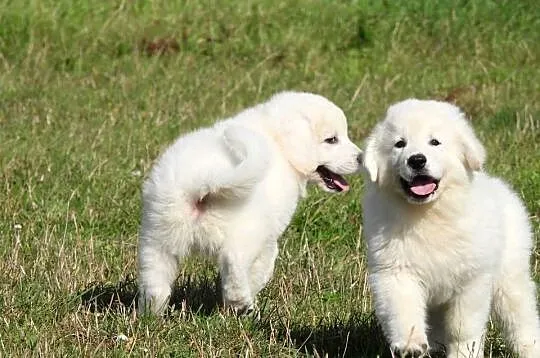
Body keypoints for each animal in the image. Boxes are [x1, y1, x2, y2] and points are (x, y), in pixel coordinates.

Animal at [137, 91, 360, 314]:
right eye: (331, 140)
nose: (360, 157)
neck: (279, 143)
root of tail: (205, 181)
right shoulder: (267, 238)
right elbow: (263, 268)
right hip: (245, 232)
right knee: (233, 262)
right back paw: (241, 305)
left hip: (157, 236)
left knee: (155, 282)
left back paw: (151, 314)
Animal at [360, 98, 540, 358]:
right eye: (399, 144)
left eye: (435, 142)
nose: (416, 160)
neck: (429, 214)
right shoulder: (396, 271)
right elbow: (403, 311)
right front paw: (411, 345)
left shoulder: (471, 280)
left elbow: (462, 329)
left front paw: (463, 353)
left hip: (509, 276)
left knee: (520, 314)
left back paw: (529, 348)